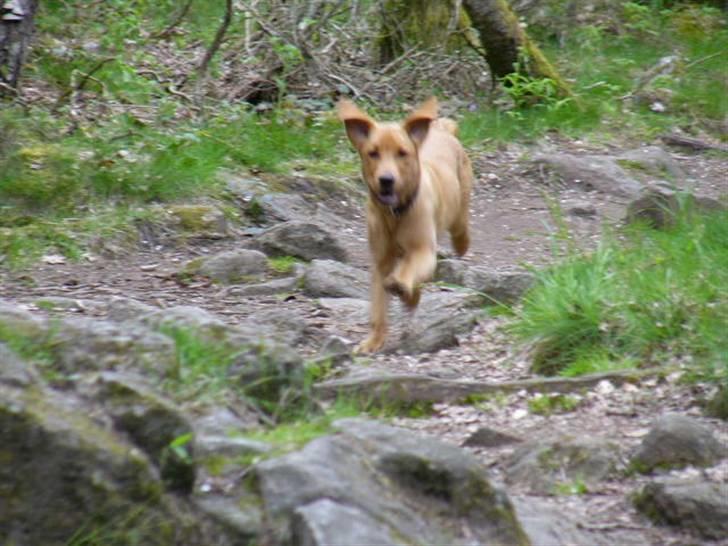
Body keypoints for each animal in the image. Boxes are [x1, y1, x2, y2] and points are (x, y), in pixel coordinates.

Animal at [338, 96, 474, 352]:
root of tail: (441, 129)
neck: (394, 214)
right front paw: (373, 341)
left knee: (461, 228)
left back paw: (461, 246)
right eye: (373, 153)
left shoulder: (423, 251)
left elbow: (408, 270)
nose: (386, 180)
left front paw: (402, 287)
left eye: (402, 153)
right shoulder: (380, 261)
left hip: (459, 204)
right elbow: (379, 307)